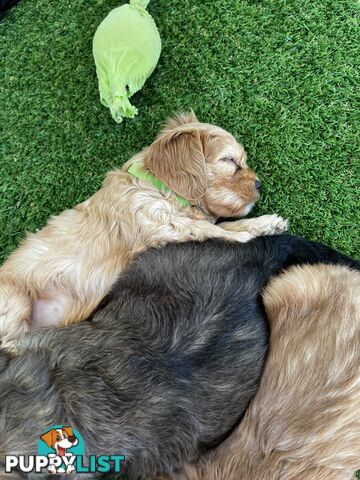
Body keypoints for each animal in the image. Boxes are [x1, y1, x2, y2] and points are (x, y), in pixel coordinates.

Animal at [0, 111, 288, 350]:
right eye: (230, 160)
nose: (259, 184)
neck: (160, 187)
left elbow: (219, 224)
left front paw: (266, 222)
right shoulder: (161, 227)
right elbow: (213, 230)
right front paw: (253, 231)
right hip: (15, 300)